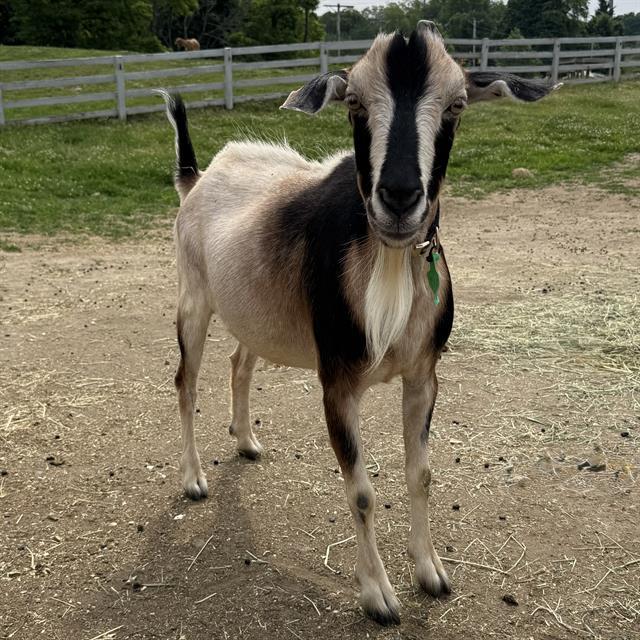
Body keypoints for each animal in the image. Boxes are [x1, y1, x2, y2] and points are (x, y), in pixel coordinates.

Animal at [160, 22, 556, 625]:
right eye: (354, 103)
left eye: (457, 105)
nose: (399, 196)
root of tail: (198, 179)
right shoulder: (339, 381)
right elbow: (364, 490)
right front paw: (378, 597)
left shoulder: (423, 374)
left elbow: (421, 473)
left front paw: (431, 574)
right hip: (194, 298)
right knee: (186, 381)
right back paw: (194, 480)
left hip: (255, 312)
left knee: (239, 361)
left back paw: (247, 441)